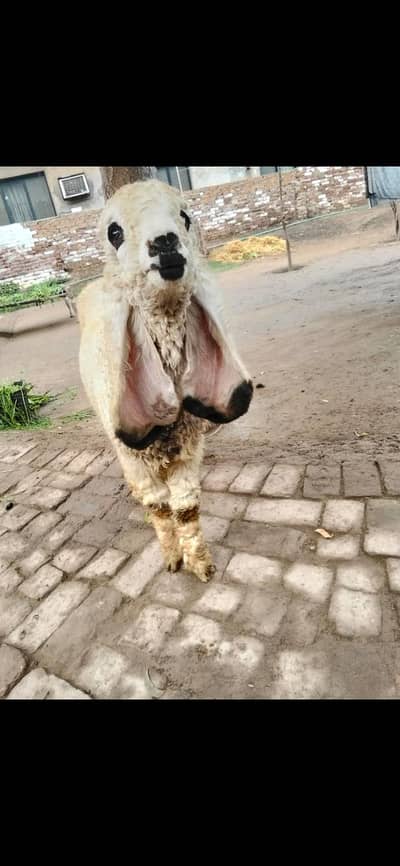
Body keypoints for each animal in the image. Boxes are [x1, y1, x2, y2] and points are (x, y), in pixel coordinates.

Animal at [77, 179, 253, 582]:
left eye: (185, 216)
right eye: (114, 232)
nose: (165, 242)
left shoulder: (189, 449)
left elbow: (186, 508)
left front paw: (201, 565)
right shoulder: (133, 458)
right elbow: (157, 508)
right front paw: (172, 559)